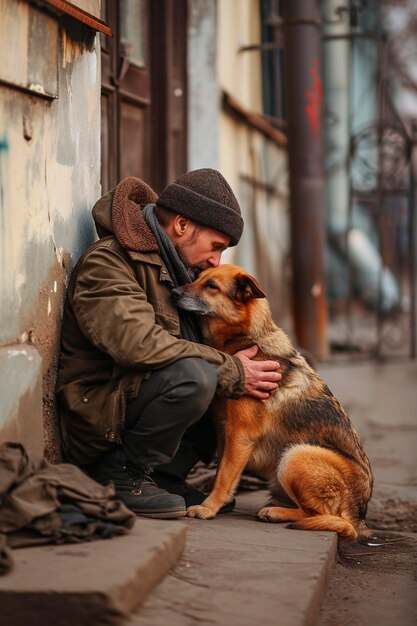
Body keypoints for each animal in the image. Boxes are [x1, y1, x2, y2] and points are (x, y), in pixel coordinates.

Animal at [172, 260, 374, 540]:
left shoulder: (240, 435)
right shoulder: (226, 434)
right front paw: (217, 502)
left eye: (211, 286)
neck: (244, 337)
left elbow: (223, 476)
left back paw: (277, 512)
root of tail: (359, 517)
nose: (174, 292)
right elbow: (222, 471)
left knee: (322, 514)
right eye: (197, 277)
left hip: (295, 456)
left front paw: (208, 508)